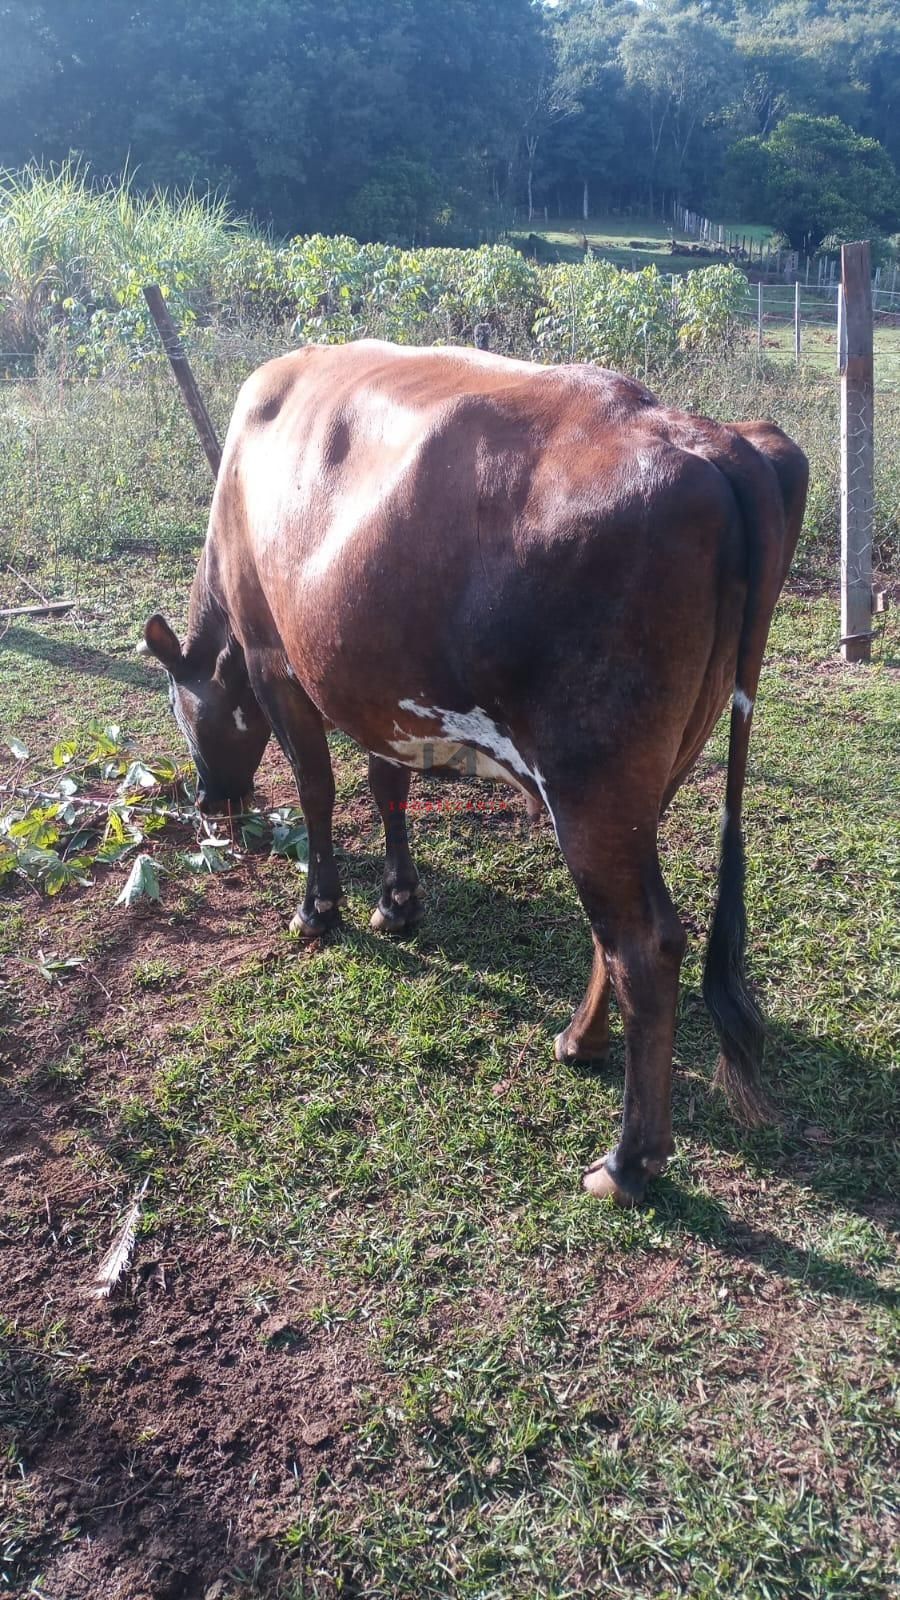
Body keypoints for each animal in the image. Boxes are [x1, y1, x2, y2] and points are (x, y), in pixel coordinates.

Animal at [145, 344, 807, 1203]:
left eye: (179, 707)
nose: (209, 801)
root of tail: (707, 437)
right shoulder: (374, 684)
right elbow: (387, 786)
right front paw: (397, 902)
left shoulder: (274, 660)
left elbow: (320, 791)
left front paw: (318, 909)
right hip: (650, 770)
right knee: (617, 930)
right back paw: (579, 1039)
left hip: (589, 777)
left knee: (645, 942)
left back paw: (628, 1160)